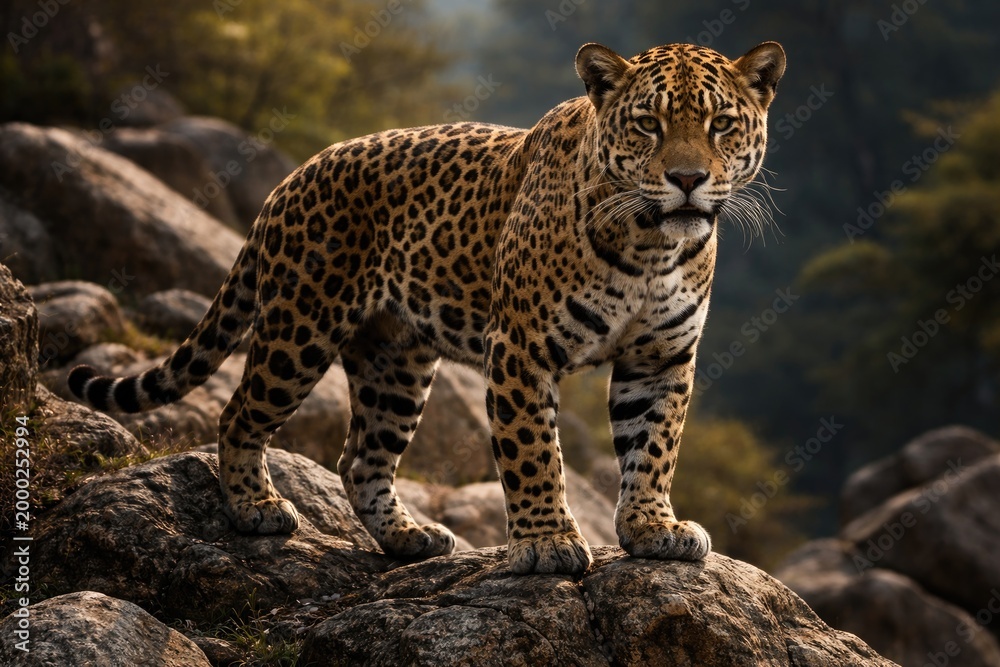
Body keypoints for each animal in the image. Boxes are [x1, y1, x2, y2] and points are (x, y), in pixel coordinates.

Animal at [69, 40, 786, 575]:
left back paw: (409, 538)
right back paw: (255, 508)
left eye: (721, 124)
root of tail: (290, 177)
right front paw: (546, 542)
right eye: (648, 124)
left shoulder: (660, 358)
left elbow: (653, 446)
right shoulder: (520, 349)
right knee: (239, 413)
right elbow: (533, 452)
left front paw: (651, 527)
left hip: (396, 361)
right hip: (298, 329)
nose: (687, 179)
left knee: (360, 458)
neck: (650, 245)